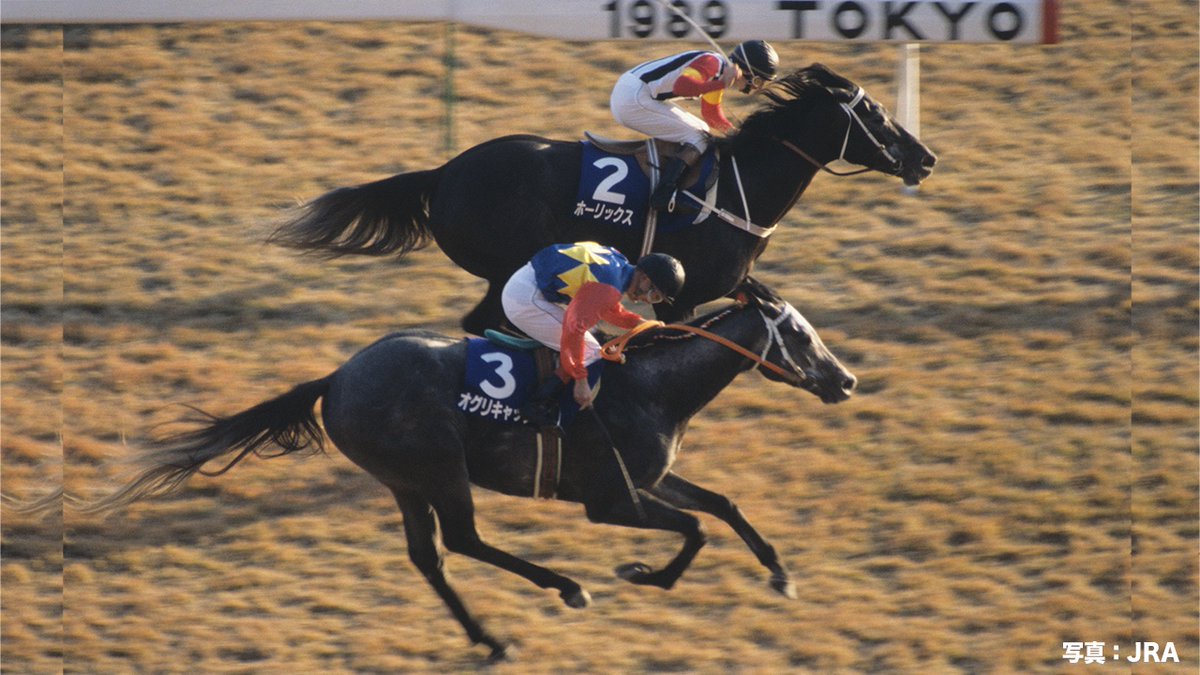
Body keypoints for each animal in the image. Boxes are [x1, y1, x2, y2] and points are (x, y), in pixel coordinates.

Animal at [80, 279, 856, 661]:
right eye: (800, 333)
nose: (845, 380)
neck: (650, 386)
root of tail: (337, 376)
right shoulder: (609, 499)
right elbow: (695, 529)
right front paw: (643, 575)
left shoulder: (651, 477)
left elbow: (722, 504)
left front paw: (780, 575)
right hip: (436, 468)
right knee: (462, 540)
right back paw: (564, 587)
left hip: (404, 480)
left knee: (430, 555)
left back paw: (489, 636)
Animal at [269, 64, 936, 334]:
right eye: (875, 115)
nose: (924, 158)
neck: (740, 187)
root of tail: (445, 171)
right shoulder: (683, 297)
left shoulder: (728, 282)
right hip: (506, 265)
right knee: (487, 322)